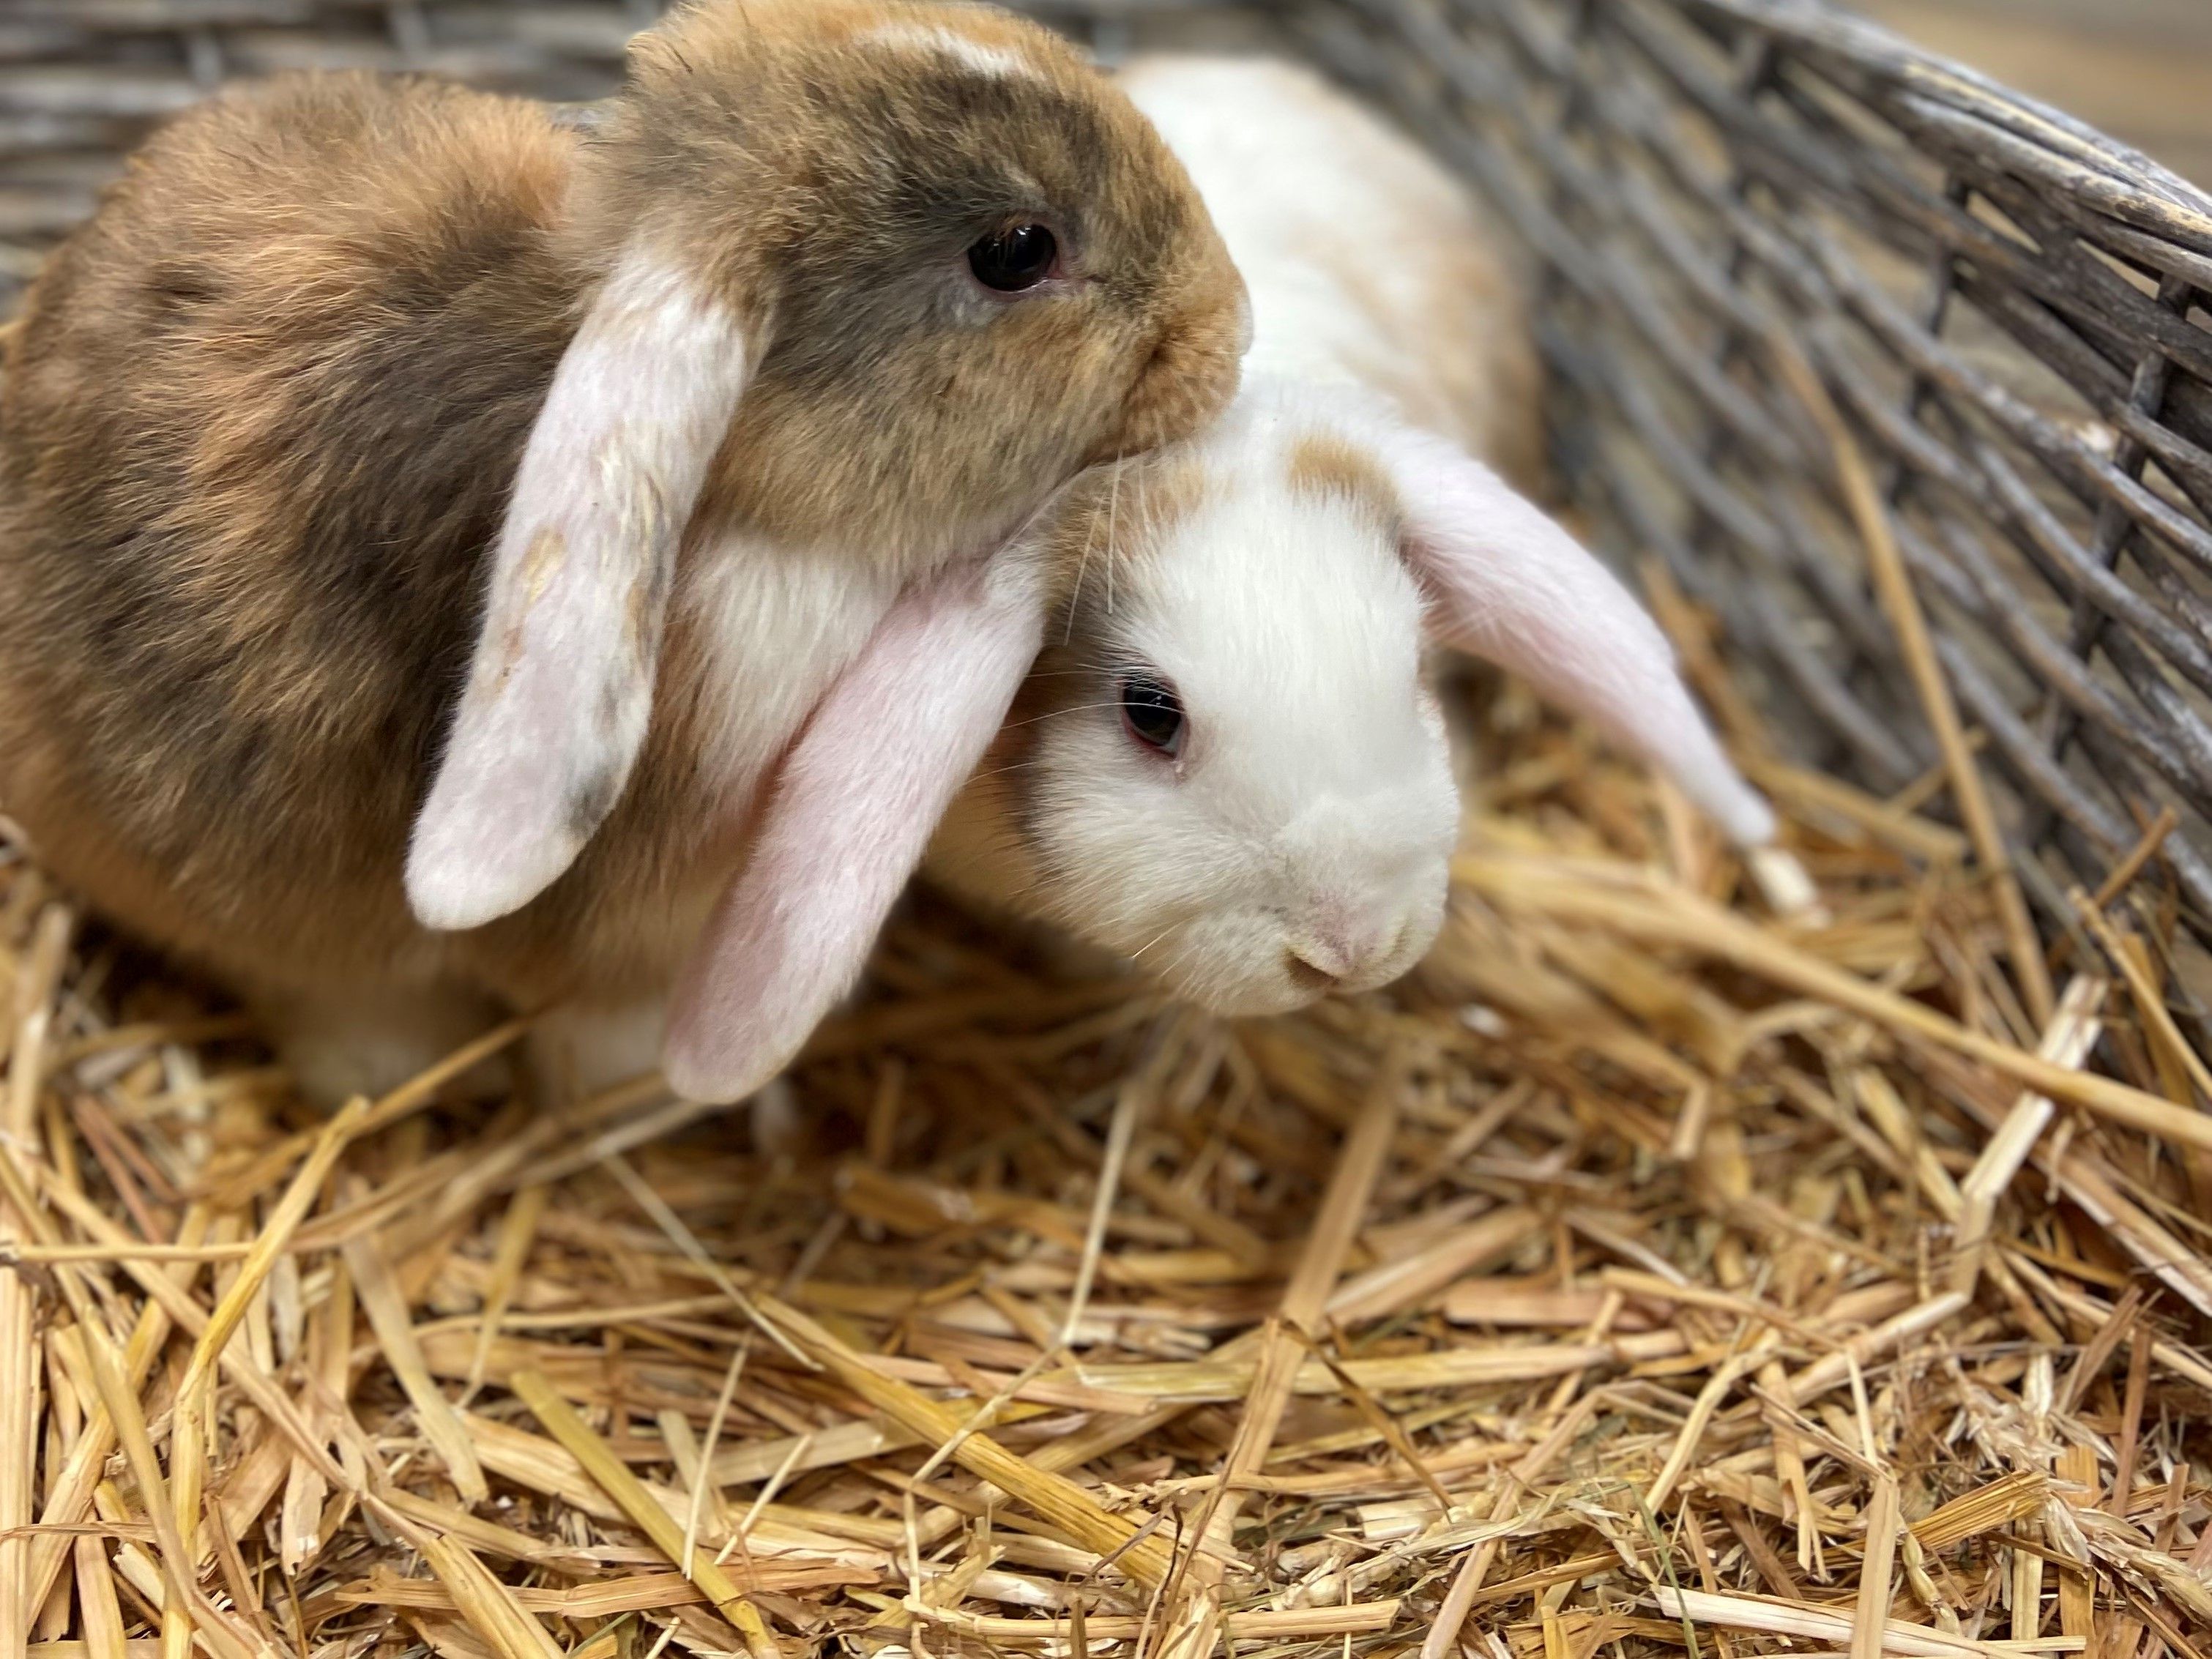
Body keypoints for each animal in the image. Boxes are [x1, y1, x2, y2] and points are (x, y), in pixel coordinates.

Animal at [0, 10, 1247, 1119]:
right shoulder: (628, 930)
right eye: (1014, 251)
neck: (770, 514)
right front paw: (661, 1110)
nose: (1230, 330)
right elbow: (602, 1031)